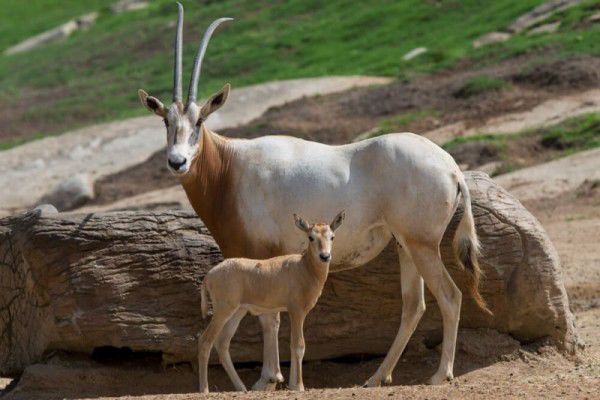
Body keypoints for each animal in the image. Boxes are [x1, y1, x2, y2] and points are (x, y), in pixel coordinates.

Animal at [198, 211, 344, 392]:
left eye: (332, 236)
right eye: (311, 237)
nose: (325, 256)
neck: (303, 267)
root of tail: (209, 275)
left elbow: (293, 345)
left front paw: (292, 385)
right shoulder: (297, 311)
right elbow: (298, 345)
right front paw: (299, 386)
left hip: (237, 312)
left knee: (222, 343)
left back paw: (242, 388)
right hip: (223, 311)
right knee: (205, 342)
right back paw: (204, 390)